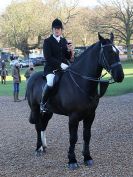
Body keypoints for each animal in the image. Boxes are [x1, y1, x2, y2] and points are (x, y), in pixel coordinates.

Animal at [26, 33, 124, 170]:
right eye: (108, 52)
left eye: (117, 52)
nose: (120, 76)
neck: (81, 82)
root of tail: (32, 77)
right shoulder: (73, 117)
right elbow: (73, 138)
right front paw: (72, 160)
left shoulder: (90, 115)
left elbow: (87, 136)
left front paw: (87, 157)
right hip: (35, 109)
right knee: (38, 126)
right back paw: (38, 148)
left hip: (48, 112)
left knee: (43, 125)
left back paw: (44, 147)